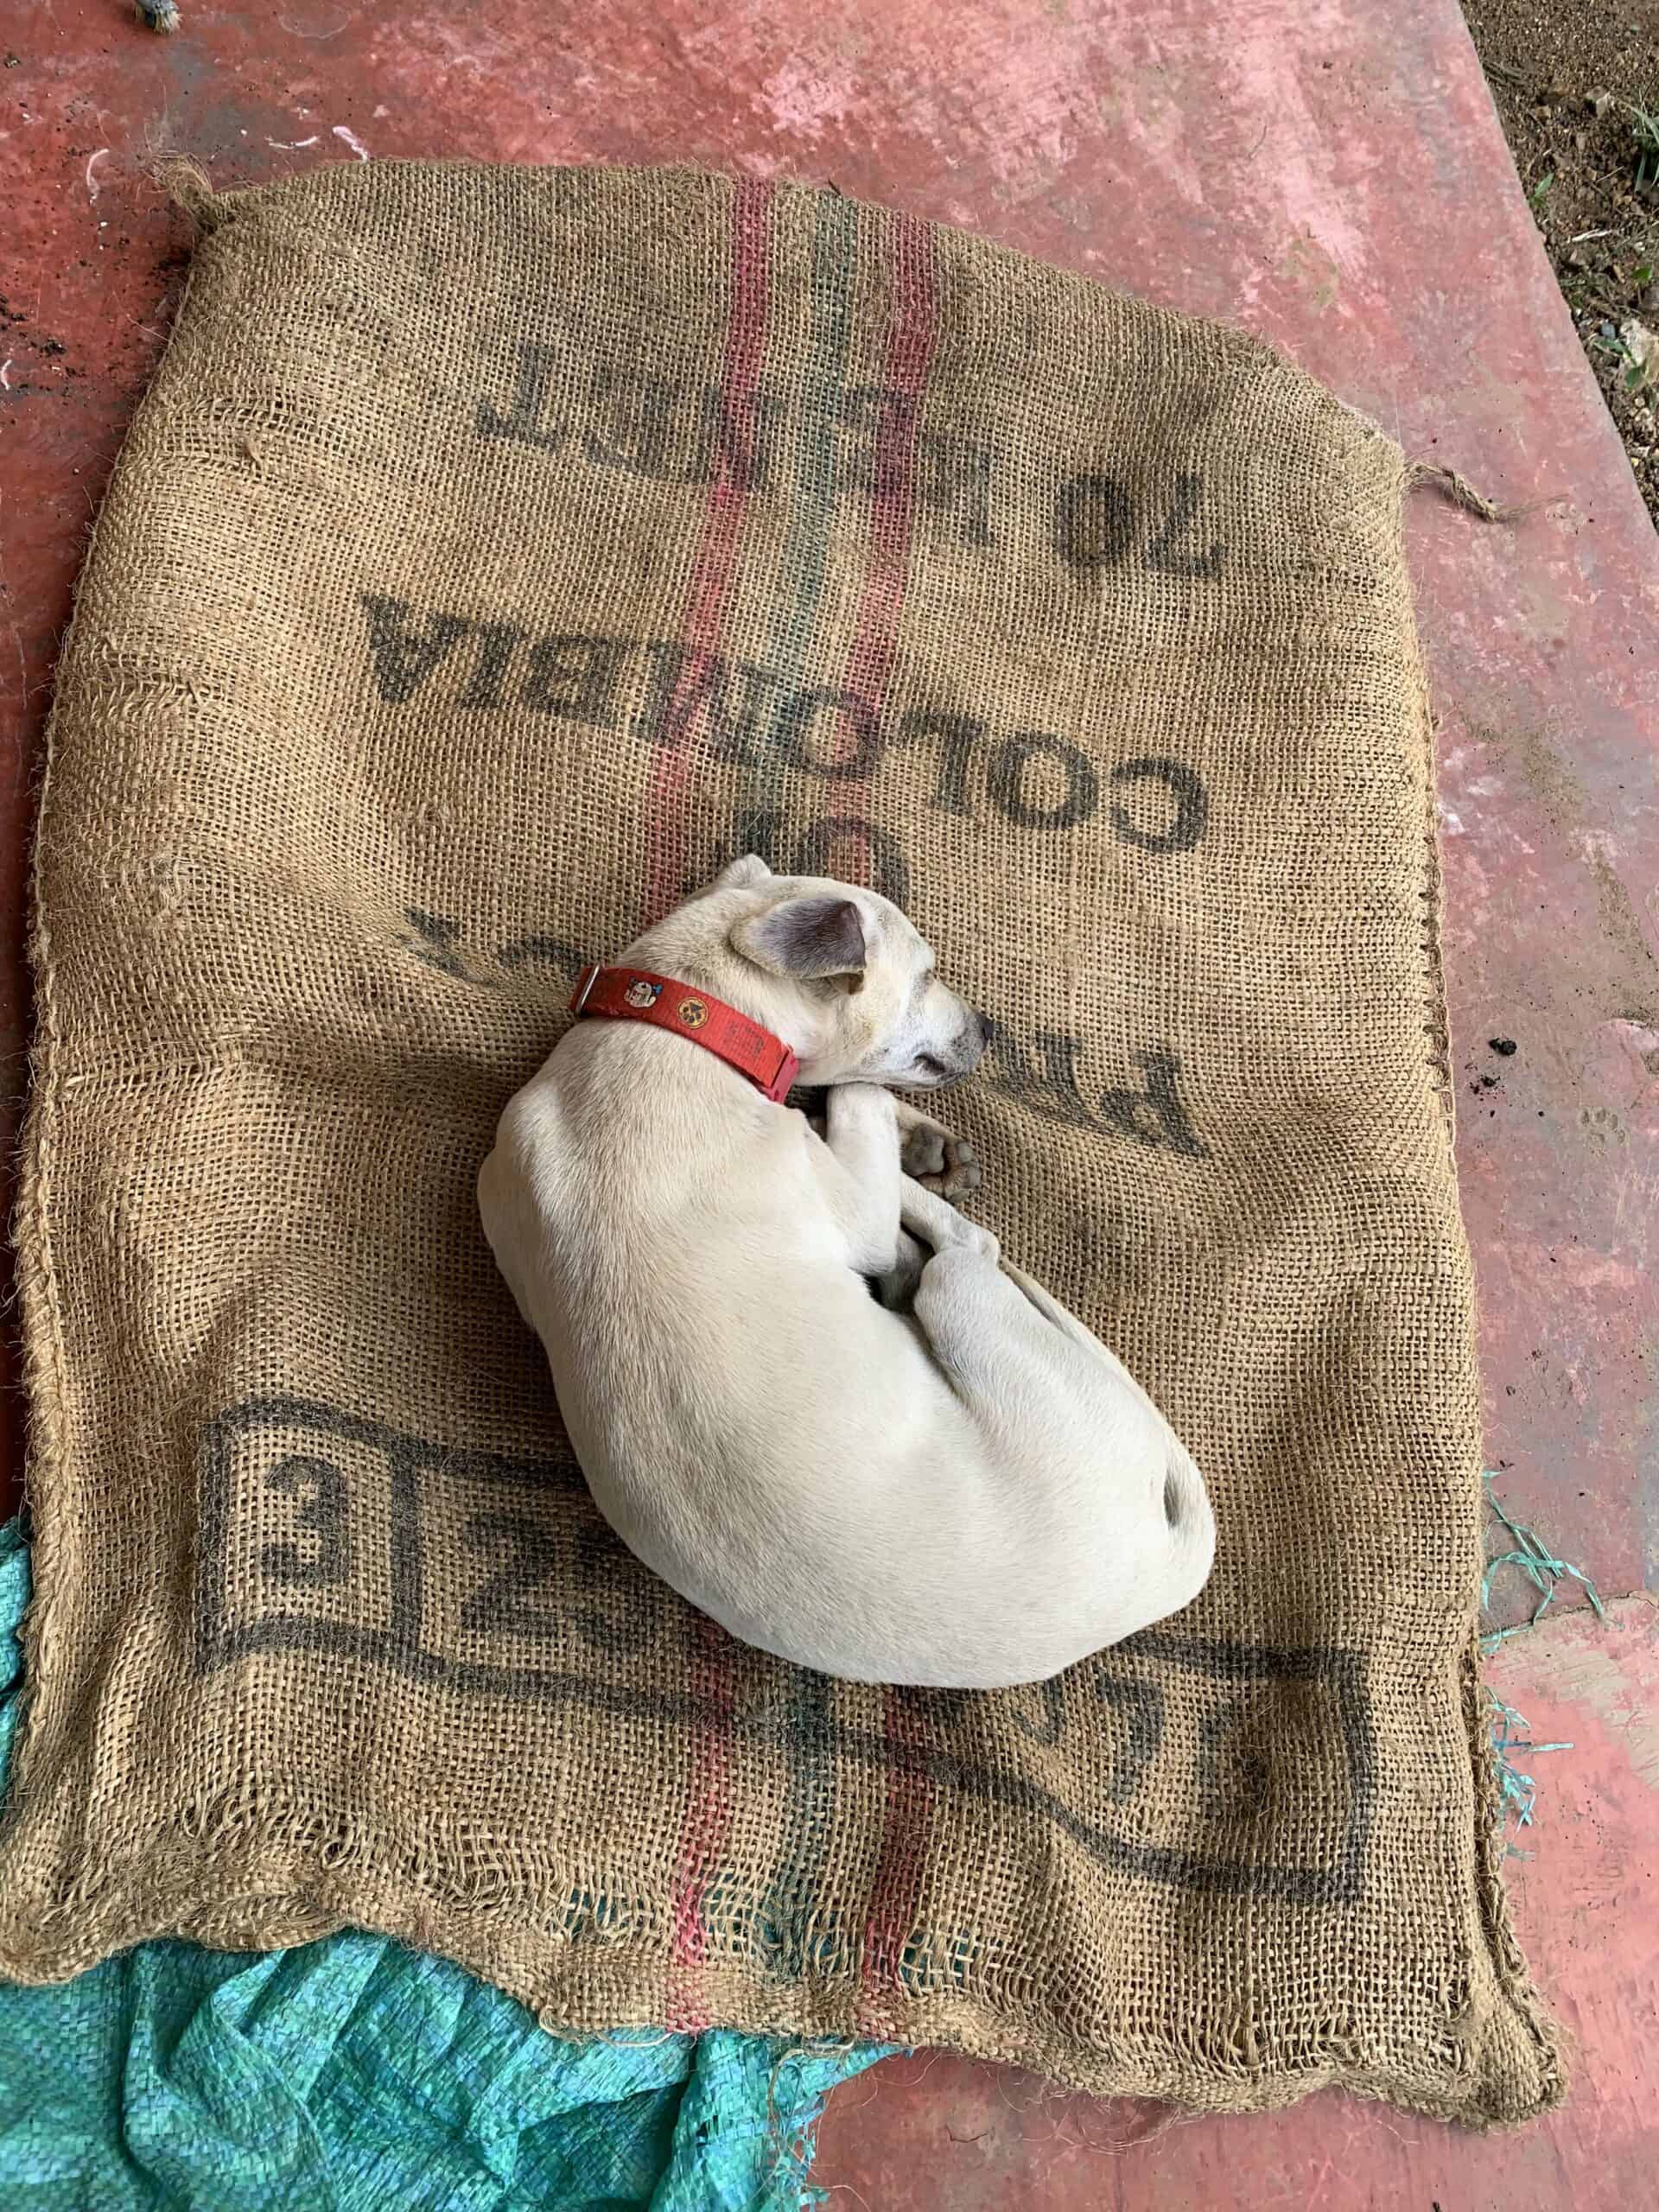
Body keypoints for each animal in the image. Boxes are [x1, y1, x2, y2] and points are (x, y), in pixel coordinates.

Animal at [473, 854, 1211, 1681]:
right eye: (926, 976)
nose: (989, 1028)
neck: (683, 1030)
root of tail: (1153, 1577)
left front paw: (919, 1140)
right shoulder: (849, 1202)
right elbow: (862, 1109)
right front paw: (890, 1127)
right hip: (964, 1298)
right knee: (966, 1246)